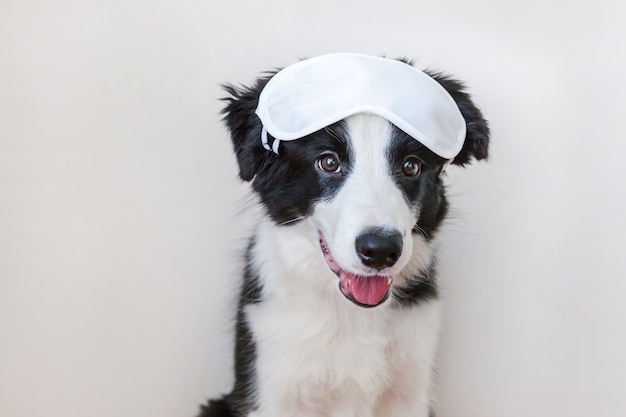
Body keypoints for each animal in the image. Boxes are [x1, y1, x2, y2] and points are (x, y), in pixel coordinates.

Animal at [197, 55, 490, 416]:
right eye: (328, 162)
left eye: (411, 166)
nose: (380, 250)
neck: (350, 314)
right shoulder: (271, 385)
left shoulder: (412, 388)